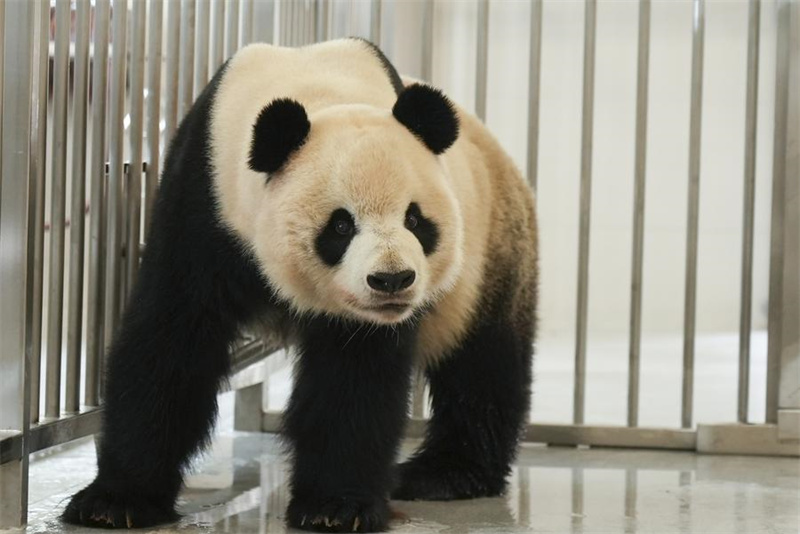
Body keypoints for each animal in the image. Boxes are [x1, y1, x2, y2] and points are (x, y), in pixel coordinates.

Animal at [63, 38, 537, 532]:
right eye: (341, 225)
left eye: (415, 219)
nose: (391, 280)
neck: (320, 89)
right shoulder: (203, 202)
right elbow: (171, 342)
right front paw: (114, 502)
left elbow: (354, 376)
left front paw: (335, 507)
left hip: (490, 254)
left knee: (482, 365)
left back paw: (443, 473)